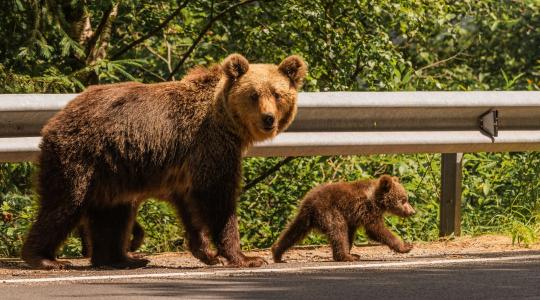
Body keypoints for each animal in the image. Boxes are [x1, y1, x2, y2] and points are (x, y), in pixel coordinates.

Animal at [21, 54, 306, 270]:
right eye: (253, 95)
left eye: (277, 94)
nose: (268, 118)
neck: (226, 122)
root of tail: (57, 117)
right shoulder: (212, 147)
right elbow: (218, 198)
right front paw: (246, 257)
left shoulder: (186, 167)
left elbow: (190, 206)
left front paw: (207, 253)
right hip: (81, 157)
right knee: (65, 203)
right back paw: (45, 258)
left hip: (113, 170)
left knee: (114, 212)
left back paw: (123, 258)